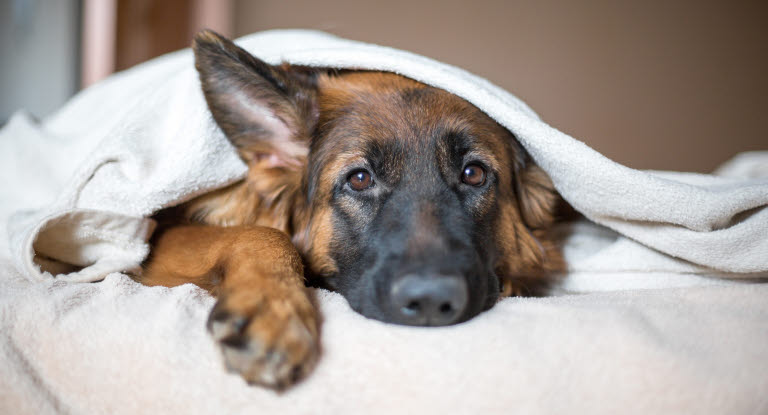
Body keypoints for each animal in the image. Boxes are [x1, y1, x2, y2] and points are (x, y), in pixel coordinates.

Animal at [138, 30, 560, 392]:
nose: (430, 301)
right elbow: (262, 233)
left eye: (473, 174)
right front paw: (273, 308)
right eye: (359, 179)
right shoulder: (158, 239)